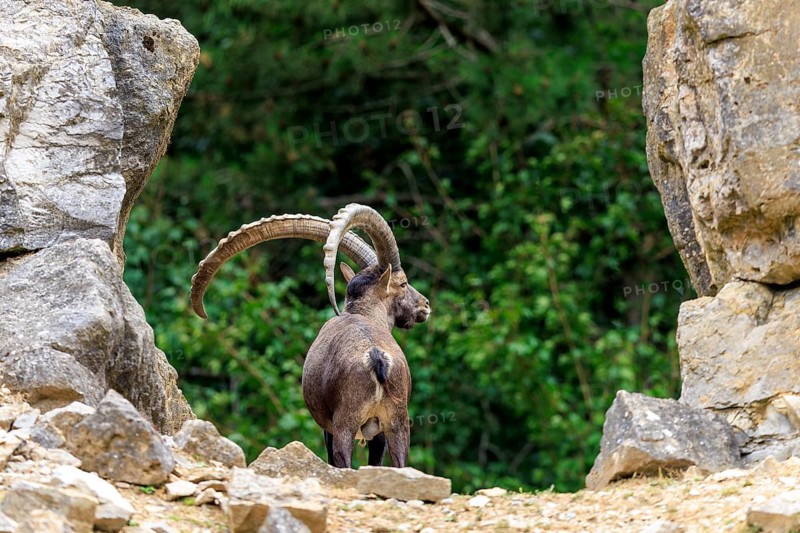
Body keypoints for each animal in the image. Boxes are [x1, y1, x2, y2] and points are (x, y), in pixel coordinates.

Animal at [190, 204, 431, 468]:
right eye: (404, 283)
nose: (425, 305)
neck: (363, 313)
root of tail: (376, 357)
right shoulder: (363, 431)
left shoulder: (343, 428)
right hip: (386, 423)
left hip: (360, 422)